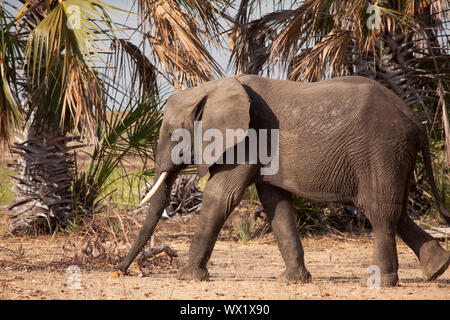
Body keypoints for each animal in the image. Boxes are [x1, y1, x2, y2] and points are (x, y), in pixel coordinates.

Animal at [117, 75, 450, 288]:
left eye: (173, 136)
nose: (119, 271)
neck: (211, 88)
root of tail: (416, 123)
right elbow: (275, 202)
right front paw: (293, 281)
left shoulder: (247, 139)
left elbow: (221, 196)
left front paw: (187, 277)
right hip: (394, 156)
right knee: (396, 210)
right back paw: (437, 270)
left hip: (381, 151)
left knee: (379, 210)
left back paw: (381, 283)